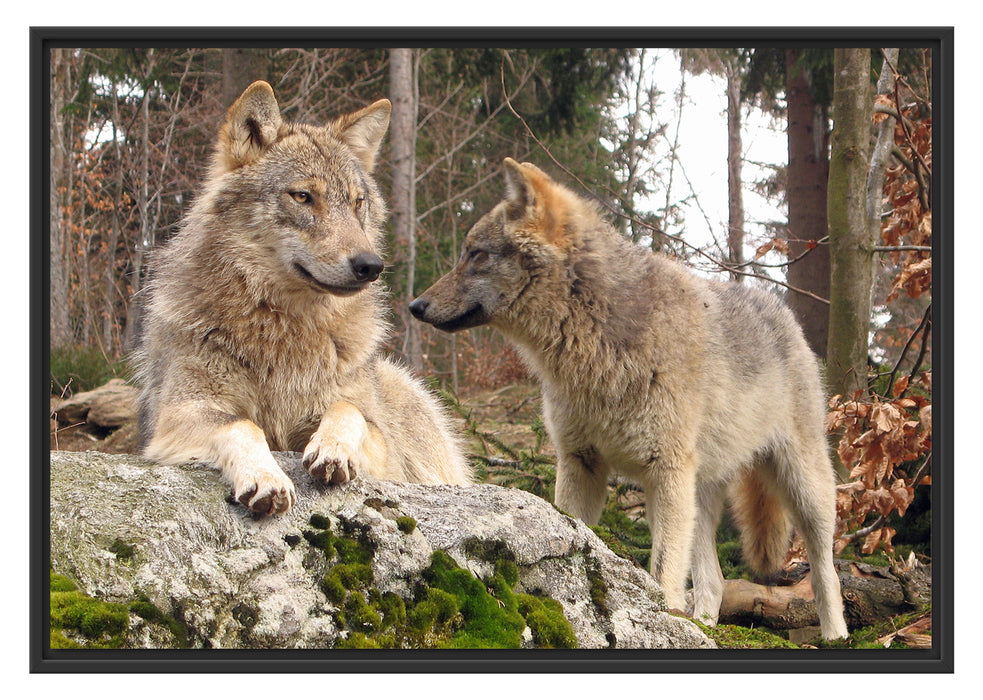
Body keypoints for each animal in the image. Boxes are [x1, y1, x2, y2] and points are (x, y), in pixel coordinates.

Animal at [134, 81, 470, 516]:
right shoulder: (179, 414)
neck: (283, 326)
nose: (370, 265)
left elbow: (349, 410)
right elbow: (243, 425)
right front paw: (265, 476)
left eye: (357, 202)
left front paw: (333, 449)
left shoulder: (381, 445)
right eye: (303, 197)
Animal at [410, 158, 849, 640]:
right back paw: (703, 625)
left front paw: (663, 619)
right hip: (699, 498)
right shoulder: (580, 462)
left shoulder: (665, 472)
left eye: (476, 255)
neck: (594, 345)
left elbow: (662, 571)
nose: (415, 305)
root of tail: (782, 310)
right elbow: (574, 533)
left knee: (825, 570)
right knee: (713, 580)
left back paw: (836, 634)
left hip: (802, 489)